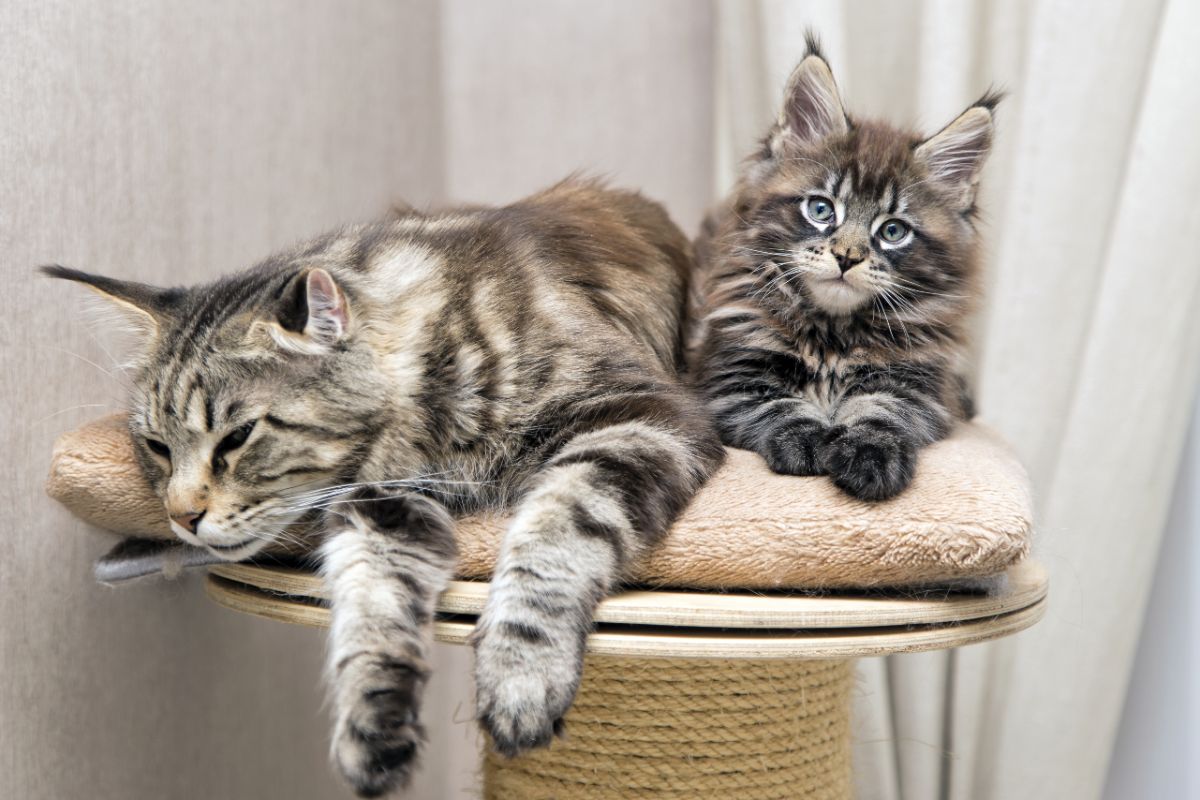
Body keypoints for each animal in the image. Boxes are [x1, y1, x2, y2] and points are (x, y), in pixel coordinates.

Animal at [44, 178, 720, 796]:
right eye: (157, 447)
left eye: (236, 438)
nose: (182, 517)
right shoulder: (382, 510)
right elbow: (370, 610)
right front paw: (372, 725)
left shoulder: (640, 419)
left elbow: (551, 539)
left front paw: (519, 675)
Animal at [691, 38, 998, 501]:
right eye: (821, 209)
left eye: (893, 231)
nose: (847, 257)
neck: (832, 336)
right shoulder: (730, 377)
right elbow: (777, 405)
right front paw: (807, 441)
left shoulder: (917, 386)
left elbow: (881, 411)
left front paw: (870, 457)